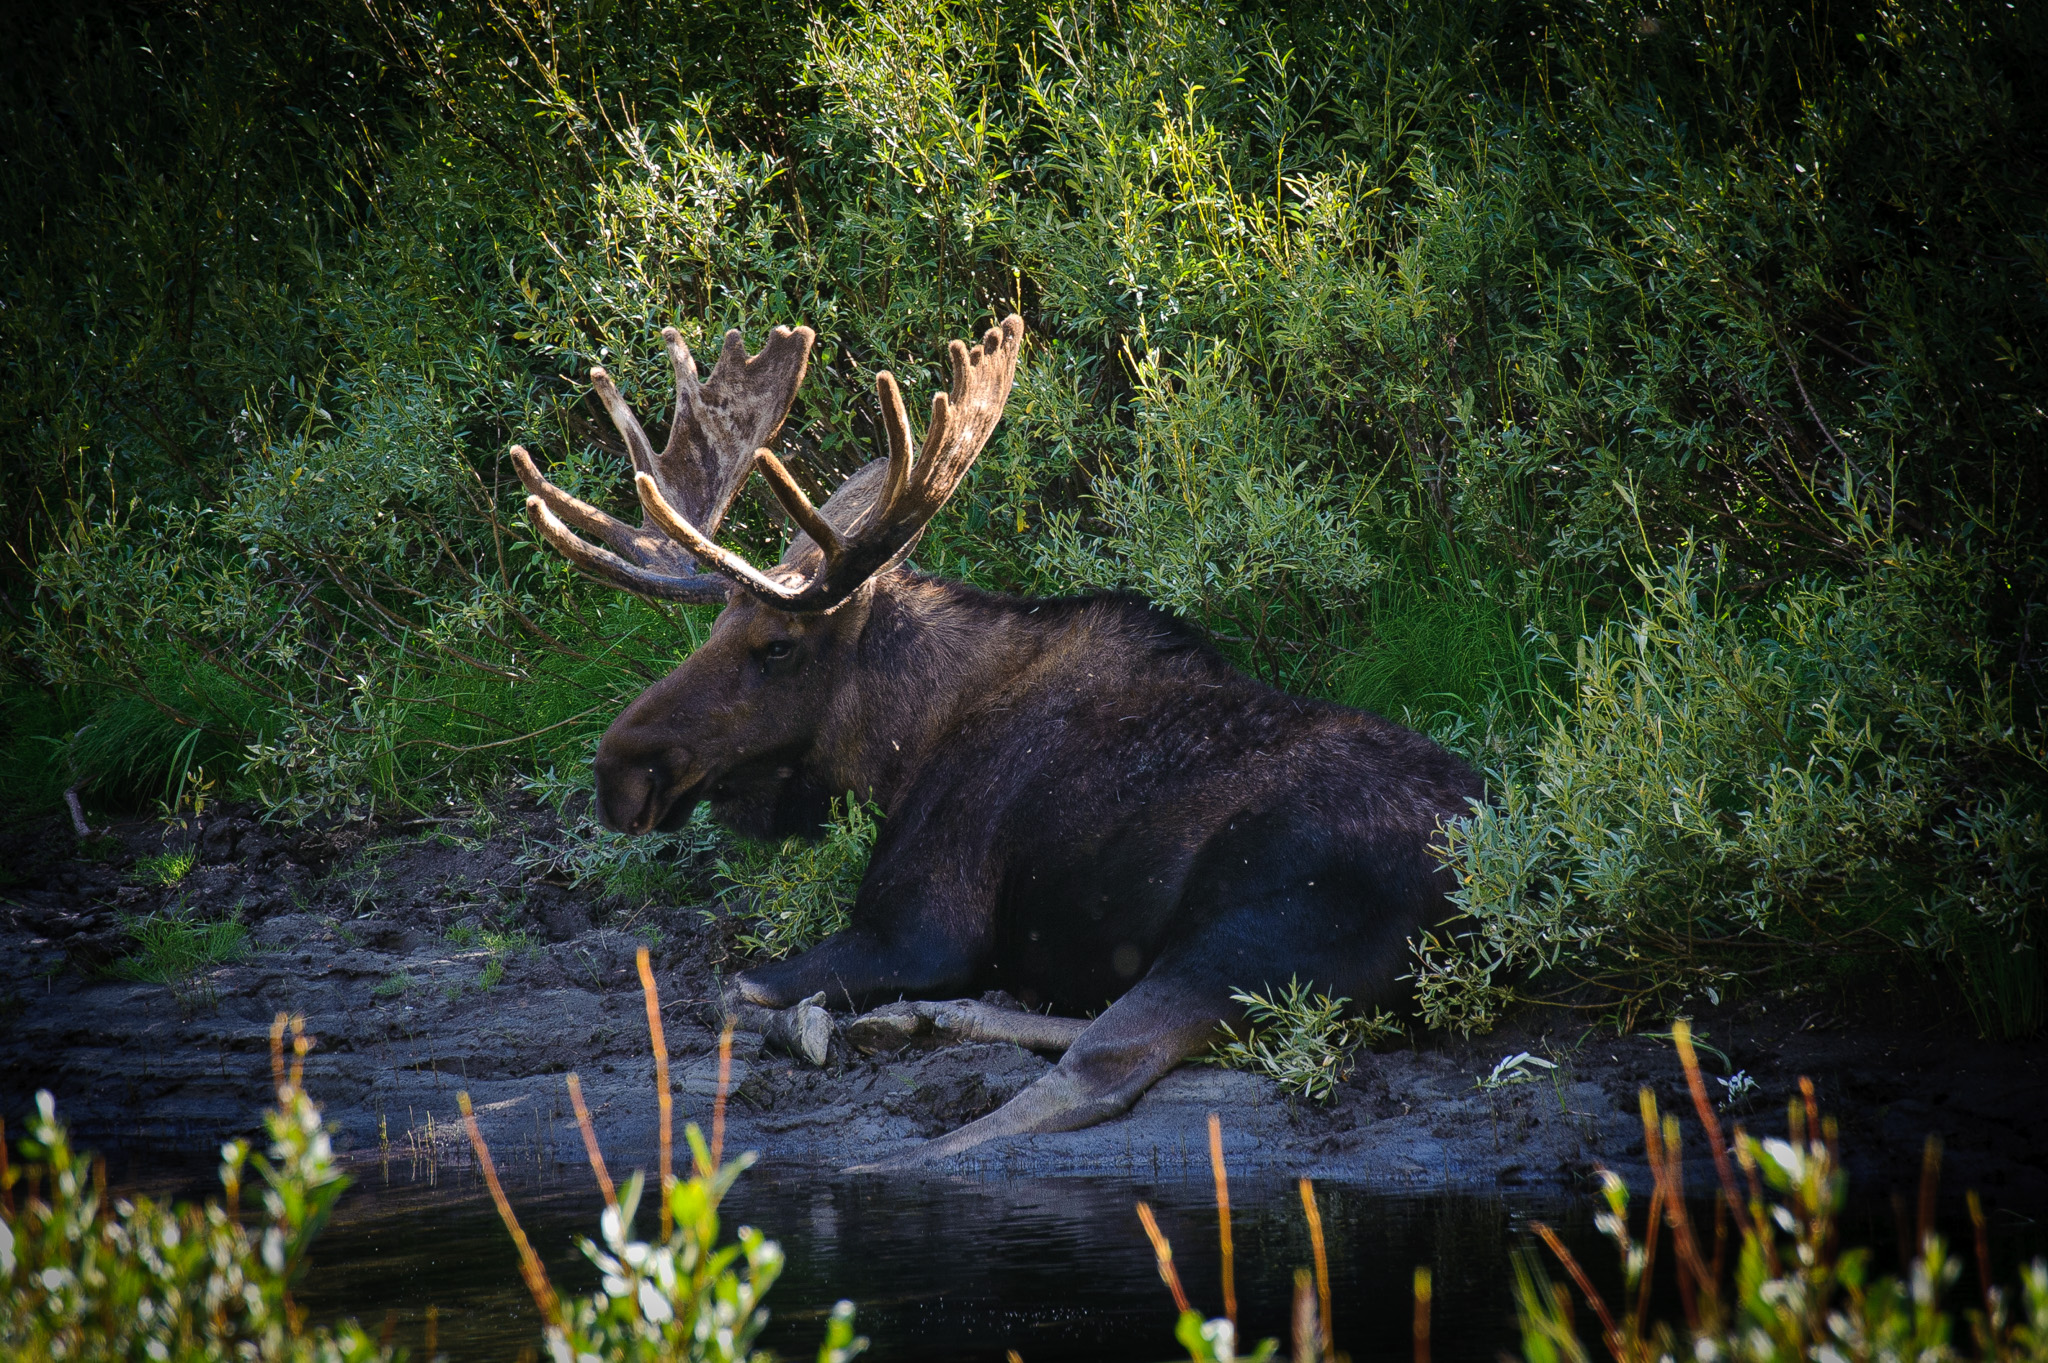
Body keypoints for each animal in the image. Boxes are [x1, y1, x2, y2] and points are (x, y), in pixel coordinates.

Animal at [512, 315, 1483, 1169]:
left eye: (776, 645)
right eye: (713, 631)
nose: (617, 769)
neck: (900, 751)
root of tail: (1486, 904)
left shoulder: (923, 926)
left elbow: (733, 992)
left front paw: (813, 1024)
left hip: (1251, 932)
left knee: (1093, 1072)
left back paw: (884, 1152)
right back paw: (924, 1020)